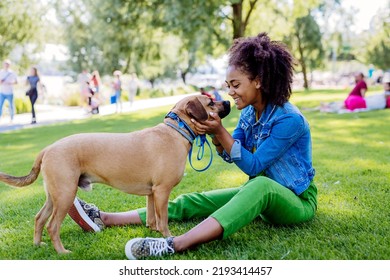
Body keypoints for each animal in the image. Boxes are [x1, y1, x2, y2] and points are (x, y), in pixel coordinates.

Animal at [0, 94, 230, 254]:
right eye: (210, 103)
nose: (228, 101)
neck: (175, 131)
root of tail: (47, 149)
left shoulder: (152, 193)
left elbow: (152, 219)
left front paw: (153, 234)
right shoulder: (162, 191)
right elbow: (163, 220)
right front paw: (167, 237)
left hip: (54, 196)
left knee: (39, 219)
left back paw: (38, 245)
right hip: (65, 195)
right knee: (52, 226)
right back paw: (62, 252)